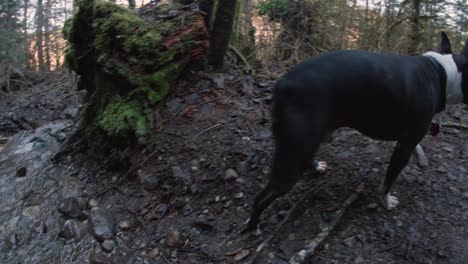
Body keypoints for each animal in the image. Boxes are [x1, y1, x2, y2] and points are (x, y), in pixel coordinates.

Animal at [245, 32, 468, 231]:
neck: (441, 71)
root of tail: (282, 83)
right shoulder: (403, 146)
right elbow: (389, 179)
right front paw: (386, 201)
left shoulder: (408, 138)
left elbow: (416, 147)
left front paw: (420, 157)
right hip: (295, 150)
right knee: (263, 196)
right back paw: (253, 227)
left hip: (308, 140)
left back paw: (316, 166)